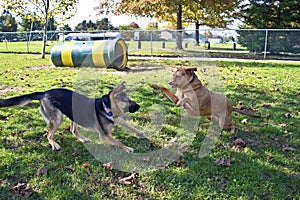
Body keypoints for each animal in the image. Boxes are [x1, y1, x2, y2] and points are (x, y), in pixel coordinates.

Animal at [0, 82, 144, 152]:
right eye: (128, 101)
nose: (139, 106)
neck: (106, 107)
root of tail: (44, 93)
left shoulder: (119, 119)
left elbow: (130, 126)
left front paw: (141, 132)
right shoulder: (104, 134)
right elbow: (118, 142)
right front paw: (128, 148)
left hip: (73, 116)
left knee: (73, 130)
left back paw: (82, 138)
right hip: (57, 119)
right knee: (48, 134)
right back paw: (54, 145)